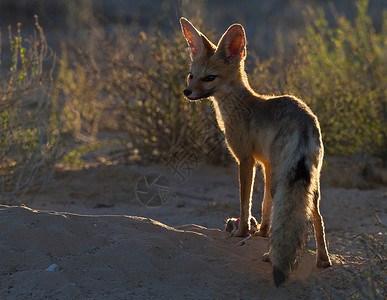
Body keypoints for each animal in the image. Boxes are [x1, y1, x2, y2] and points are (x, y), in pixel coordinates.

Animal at [180, 17, 332, 288]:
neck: (241, 106)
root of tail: (304, 121)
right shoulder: (266, 164)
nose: (188, 92)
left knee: (290, 210)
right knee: (316, 216)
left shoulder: (245, 160)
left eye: (210, 78)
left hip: (283, 178)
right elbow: (265, 205)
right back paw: (323, 260)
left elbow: (245, 201)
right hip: (310, 181)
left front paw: (242, 232)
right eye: (191, 75)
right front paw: (262, 232)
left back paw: (272, 257)